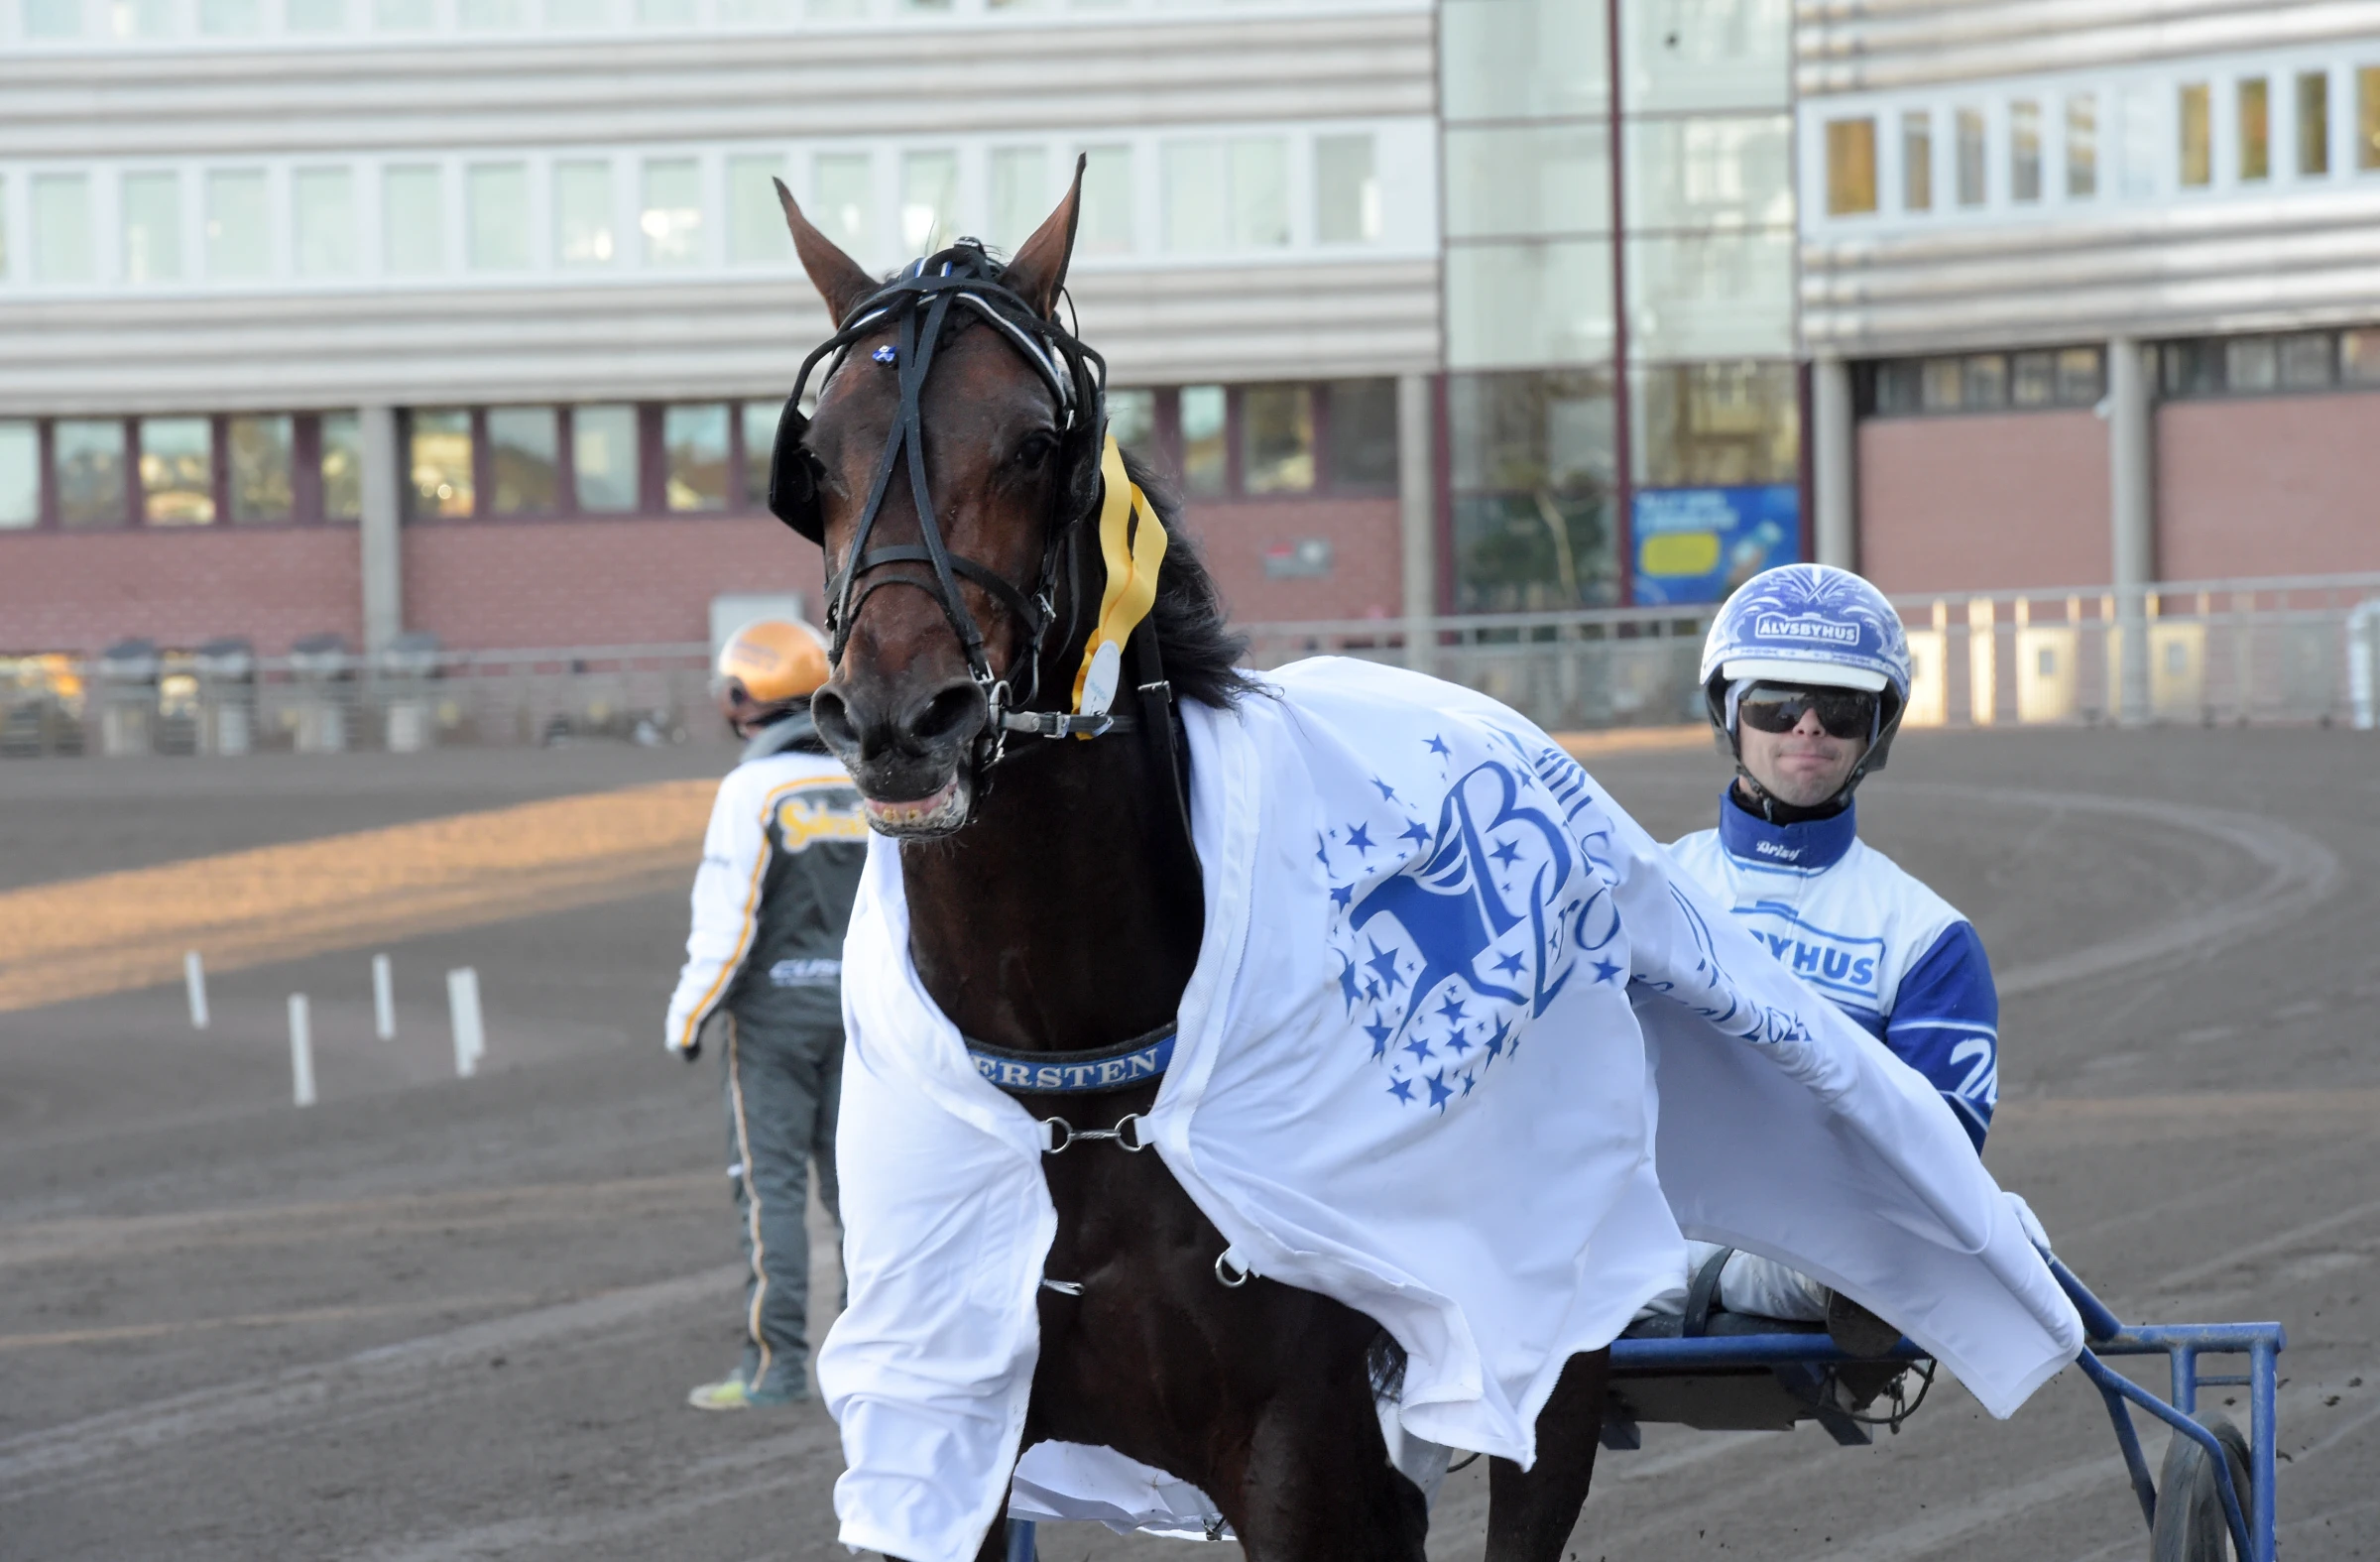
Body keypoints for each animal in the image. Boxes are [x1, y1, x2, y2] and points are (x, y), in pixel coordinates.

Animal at [771, 164, 1608, 1552]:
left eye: (1034, 445)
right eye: (818, 462)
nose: (898, 717)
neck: (1079, 1084)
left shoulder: (1305, 1454)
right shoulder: (942, 1424)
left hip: (1550, 1343)